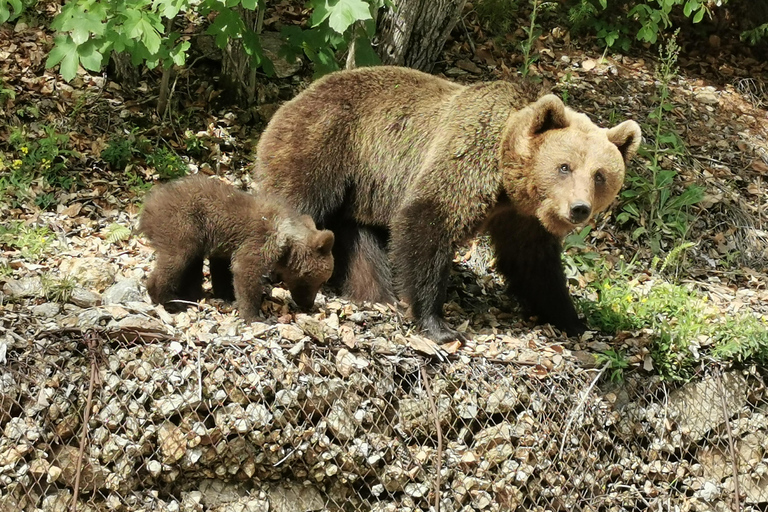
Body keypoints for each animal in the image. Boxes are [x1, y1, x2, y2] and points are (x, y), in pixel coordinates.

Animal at [254, 66, 640, 342]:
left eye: (600, 175)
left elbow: (533, 263)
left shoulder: (521, 217)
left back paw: (375, 293)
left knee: (359, 242)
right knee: (298, 204)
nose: (578, 208)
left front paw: (574, 320)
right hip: (325, 146)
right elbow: (429, 220)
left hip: (361, 192)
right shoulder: (467, 153)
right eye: (564, 166)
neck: (508, 180)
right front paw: (438, 324)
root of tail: (291, 100)